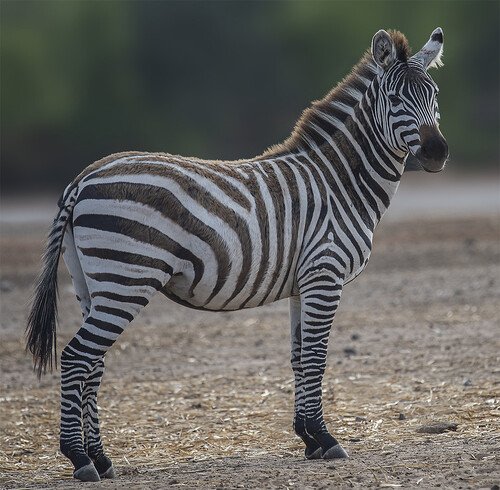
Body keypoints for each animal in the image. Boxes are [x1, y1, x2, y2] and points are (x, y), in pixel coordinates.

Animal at [26, 27, 450, 482]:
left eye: (434, 94)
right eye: (395, 99)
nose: (437, 152)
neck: (340, 182)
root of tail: (83, 178)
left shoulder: (303, 284)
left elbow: (300, 358)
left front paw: (309, 438)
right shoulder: (325, 274)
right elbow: (317, 357)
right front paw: (327, 439)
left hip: (91, 284)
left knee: (94, 364)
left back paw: (102, 459)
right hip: (127, 280)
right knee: (76, 358)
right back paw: (79, 459)